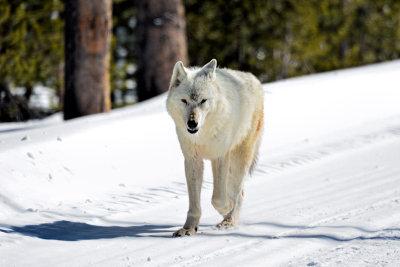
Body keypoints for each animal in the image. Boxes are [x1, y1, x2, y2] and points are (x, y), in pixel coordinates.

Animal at [167, 59, 264, 238]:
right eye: (184, 101)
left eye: (203, 101)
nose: (192, 123)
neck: (203, 135)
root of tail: (253, 78)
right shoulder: (192, 160)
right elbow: (194, 203)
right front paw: (189, 228)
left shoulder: (219, 156)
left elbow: (217, 198)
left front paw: (227, 208)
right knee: (240, 192)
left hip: (238, 161)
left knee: (238, 193)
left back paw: (229, 220)